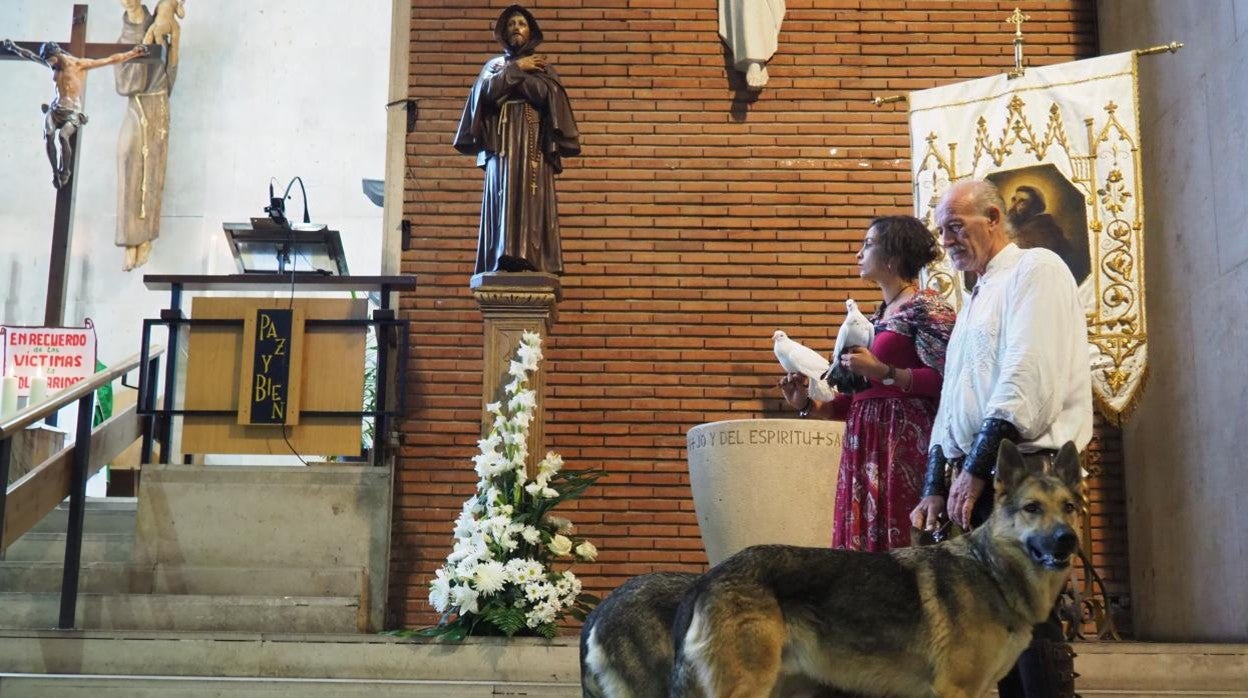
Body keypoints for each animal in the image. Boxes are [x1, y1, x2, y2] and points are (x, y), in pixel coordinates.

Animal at [668, 439, 1088, 694]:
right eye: (1032, 508)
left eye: (1068, 507)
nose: (1067, 539)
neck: (993, 572)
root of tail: (709, 578)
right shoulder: (955, 689)